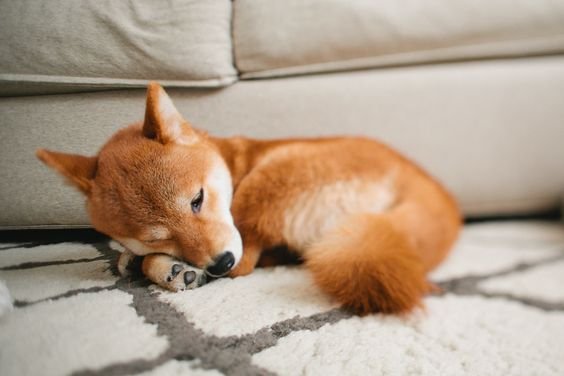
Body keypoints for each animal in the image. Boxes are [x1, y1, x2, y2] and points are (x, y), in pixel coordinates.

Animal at [38, 81, 462, 314]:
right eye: (159, 236)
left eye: (197, 200)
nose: (219, 262)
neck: (229, 158)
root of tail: (422, 181)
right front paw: (150, 260)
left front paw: (155, 265)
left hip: (270, 179)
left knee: (249, 263)